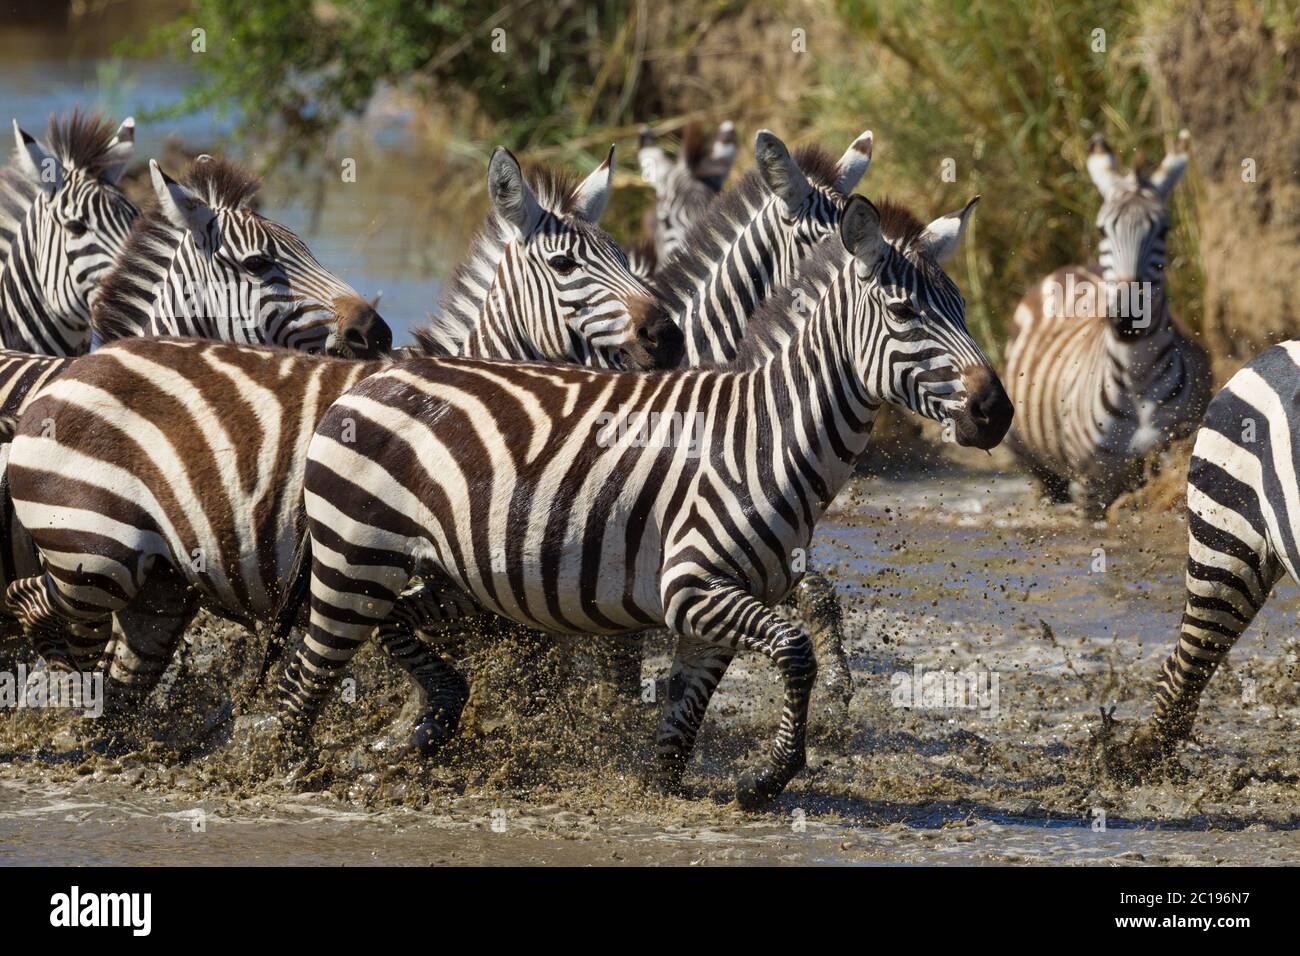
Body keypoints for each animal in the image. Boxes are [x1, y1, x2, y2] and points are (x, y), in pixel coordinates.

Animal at [272, 193, 1011, 808]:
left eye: (962, 311)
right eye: (904, 312)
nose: (997, 412)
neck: (763, 438)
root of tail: (374, 377)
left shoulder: (712, 606)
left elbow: (687, 707)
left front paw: (655, 781)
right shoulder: (692, 585)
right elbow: (795, 649)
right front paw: (768, 779)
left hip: (436, 574)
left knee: (388, 625)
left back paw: (428, 722)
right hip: (356, 555)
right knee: (307, 672)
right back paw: (288, 769)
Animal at [1004, 130, 1212, 518]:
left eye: (1163, 231)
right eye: (1103, 230)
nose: (1128, 317)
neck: (1138, 372)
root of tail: (1072, 266)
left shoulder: (1173, 452)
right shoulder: (1091, 488)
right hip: (1025, 449)